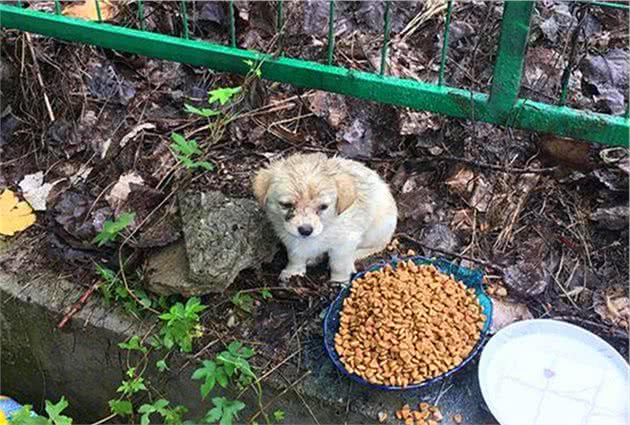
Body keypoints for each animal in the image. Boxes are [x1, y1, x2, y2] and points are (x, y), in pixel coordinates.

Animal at [253, 152, 398, 282]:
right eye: (286, 205)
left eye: (323, 207)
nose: (305, 230)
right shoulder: (291, 240)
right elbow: (295, 256)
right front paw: (293, 272)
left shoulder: (345, 243)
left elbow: (339, 264)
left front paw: (339, 281)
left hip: (377, 229)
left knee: (377, 246)